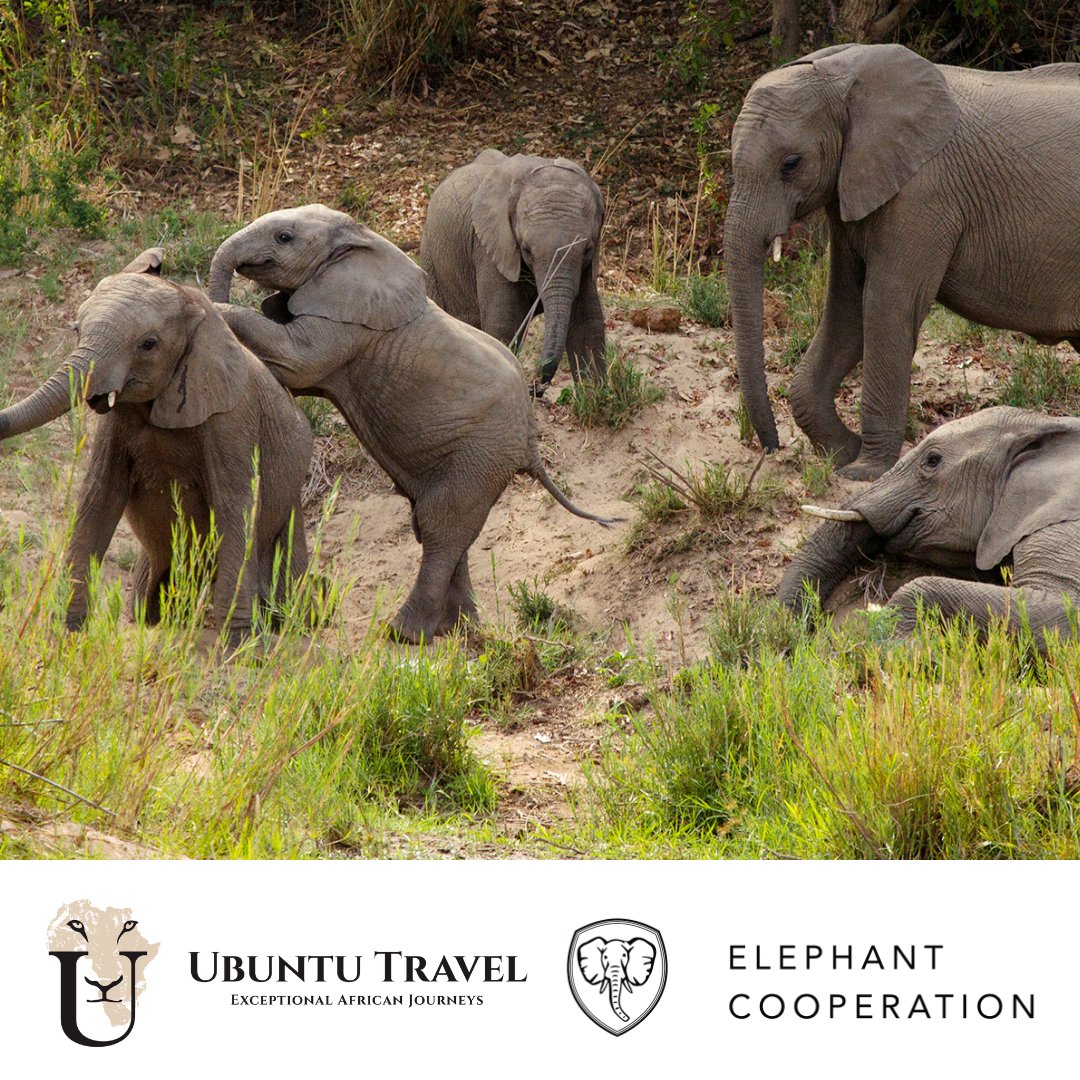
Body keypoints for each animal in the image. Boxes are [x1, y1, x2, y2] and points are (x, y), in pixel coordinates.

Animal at [0, 249, 312, 643]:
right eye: (76, 330)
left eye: (148, 345)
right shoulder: (115, 423)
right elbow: (98, 498)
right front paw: (68, 632)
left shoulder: (232, 419)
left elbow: (235, 506)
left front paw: (238, 642)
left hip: (292, 500)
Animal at [207, 204, 615, 644]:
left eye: (284, 238)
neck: (358, 238)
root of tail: (531, 441)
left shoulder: (349, 324)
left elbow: (297, 362)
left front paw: (213, 311)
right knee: (445, 526)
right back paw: (457, 630)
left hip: (483, 452)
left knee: (440, 525)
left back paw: (403, 633)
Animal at [419, 149, 606, 391]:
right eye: (526, 250)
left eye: (588, 249)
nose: (537, 385)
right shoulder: (491, 248)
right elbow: (504, 326)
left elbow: (587, 326)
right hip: (431, 258)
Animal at [724, 43, 1080, 480]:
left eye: (790, 164)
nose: (771, 449)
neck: (844, 74)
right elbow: (846, 309)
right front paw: (843, 454)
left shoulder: (924, 193)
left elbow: (885, 307)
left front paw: (864, 472)